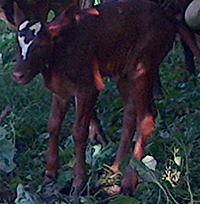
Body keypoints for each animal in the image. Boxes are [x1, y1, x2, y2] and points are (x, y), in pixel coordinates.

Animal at [12, 0, 200, 195]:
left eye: (41, 45)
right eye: (17, 44)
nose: (18, 74)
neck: (61, 48)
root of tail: (166, 16)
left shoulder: (88, 88)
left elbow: (79, 132)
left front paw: (79, 182)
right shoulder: (61, 91)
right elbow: (53, 125)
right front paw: (49, 174)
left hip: (141, 67)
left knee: (146, 117)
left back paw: (128, 182)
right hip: (123, 73)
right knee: (130, 114)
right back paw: (115, 168)